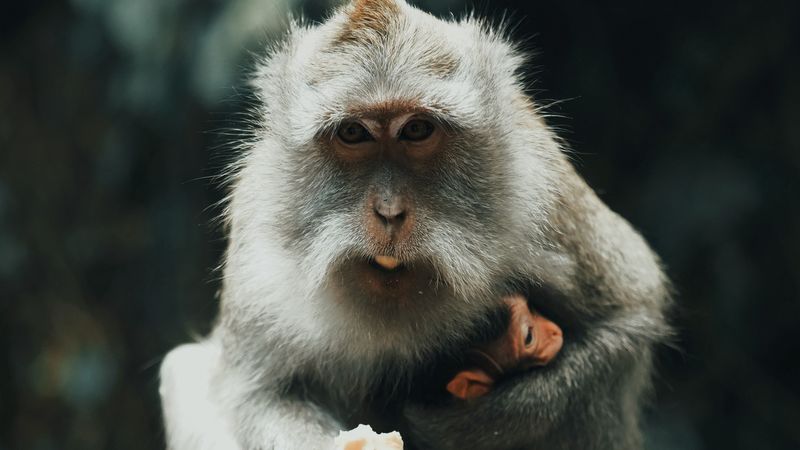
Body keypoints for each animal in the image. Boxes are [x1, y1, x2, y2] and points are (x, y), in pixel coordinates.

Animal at [159, 0, 671, 449]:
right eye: (353, 133)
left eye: (417, 129)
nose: (389, 211)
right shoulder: (261, 237)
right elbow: (261, 394)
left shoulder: (538, 190)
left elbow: (628, 317)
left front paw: (477, 425)